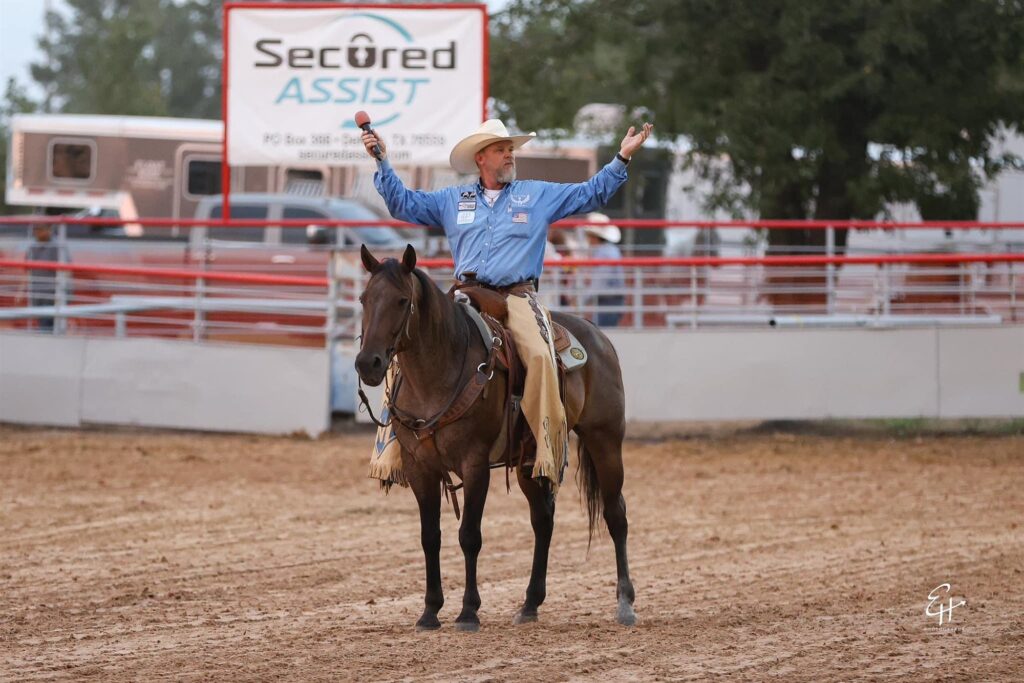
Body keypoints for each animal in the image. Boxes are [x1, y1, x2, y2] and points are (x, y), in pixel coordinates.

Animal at [355, 245, 635, 630]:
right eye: (364, 298)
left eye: (401, 300)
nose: (368, 363)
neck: (439, 371)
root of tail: (597, 333)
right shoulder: (419, 467)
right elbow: (430, 537)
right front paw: (429, 612)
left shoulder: (475, 464)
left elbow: (469, 536)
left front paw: (468, 611)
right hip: (530, 457)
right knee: (543, 520)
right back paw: (530, 604)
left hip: (604, 439)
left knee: (615, 514)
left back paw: (625, 603)